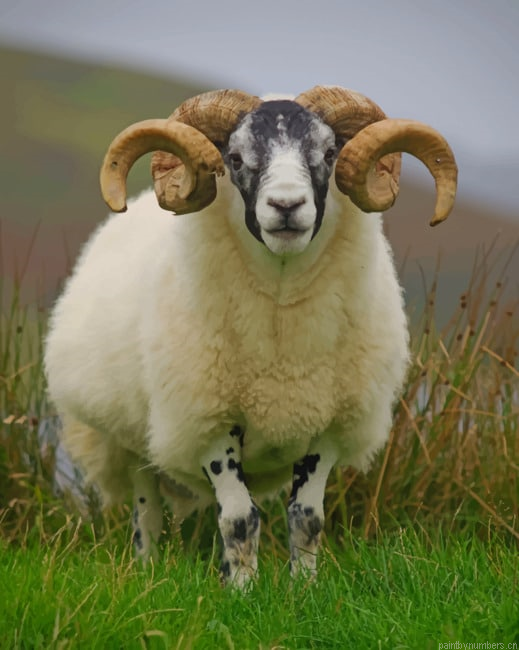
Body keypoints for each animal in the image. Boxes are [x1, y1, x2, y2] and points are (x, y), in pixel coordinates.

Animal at [44, 86, 457, 587]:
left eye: (329, 153)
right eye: (236, 158)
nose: (286, 206)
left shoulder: (327, 425)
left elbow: (307, 517)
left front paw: (303, 589)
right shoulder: (210, 422)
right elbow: (239, 518)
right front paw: (243, 590)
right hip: (130, 440)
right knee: (148, 512)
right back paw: (147, 569)